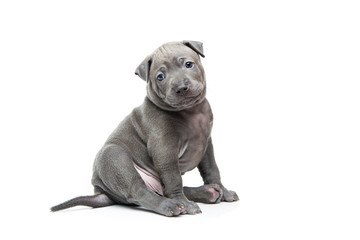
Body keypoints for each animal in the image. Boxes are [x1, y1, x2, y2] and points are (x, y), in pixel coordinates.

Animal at [50, 40, 236, 217]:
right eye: (160, 77)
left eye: (189, 64)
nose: (181, 88)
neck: (191, 111)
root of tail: (102, 191)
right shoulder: (164, 148)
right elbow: (174, 179)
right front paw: (186, 205)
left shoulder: (206, 145)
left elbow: (212, 169)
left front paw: (223, 191)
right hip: (114, 157)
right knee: (140, 191)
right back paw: (171, 205)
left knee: (163, 190)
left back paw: (208, 192)